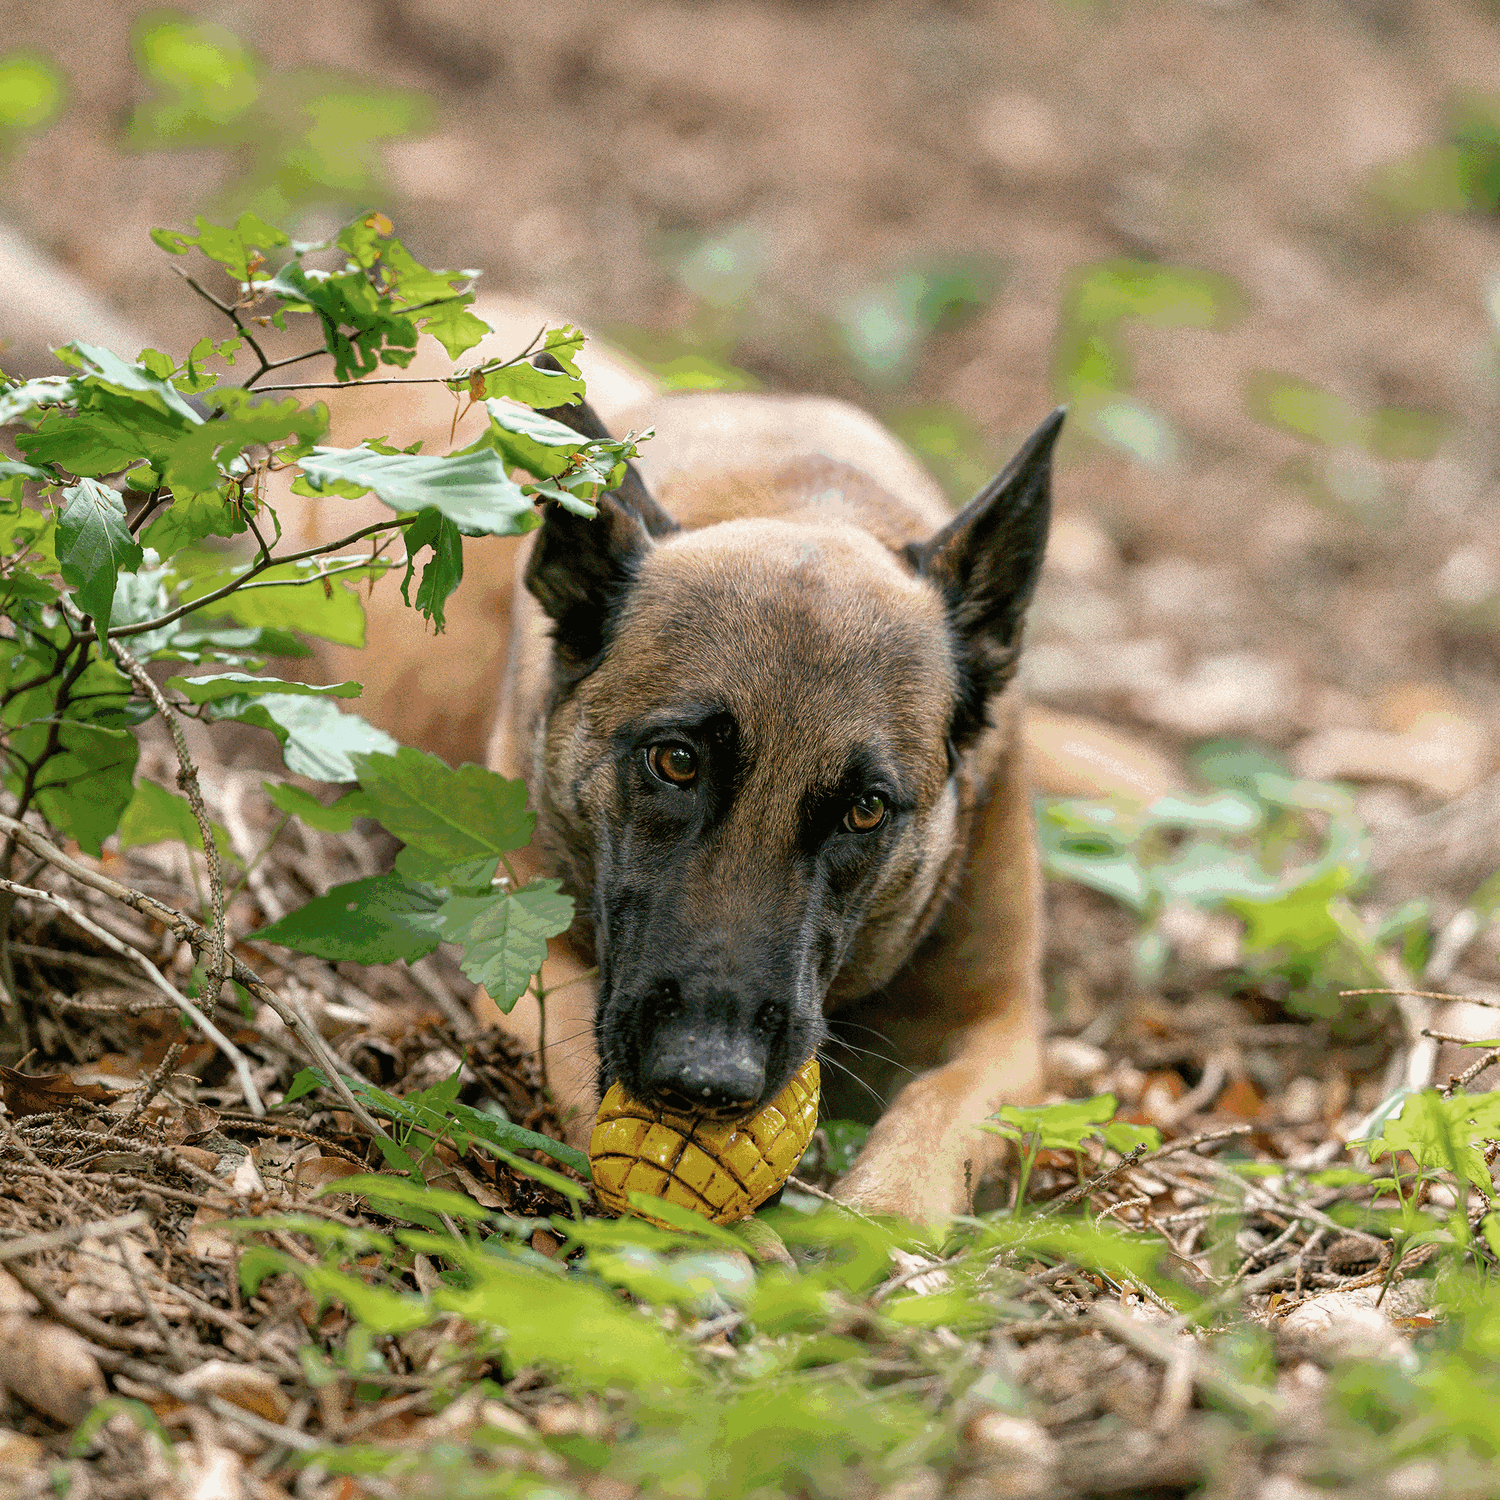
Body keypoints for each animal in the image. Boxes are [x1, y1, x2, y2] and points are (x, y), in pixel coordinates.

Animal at [276, 304, 1176, 1218]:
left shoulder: (1003, 1034)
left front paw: (874, 1223)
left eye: (865, 809)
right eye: (676, 763)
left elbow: (933, 1128)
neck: (806, 504)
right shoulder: (534, 964)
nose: (706, 1079)